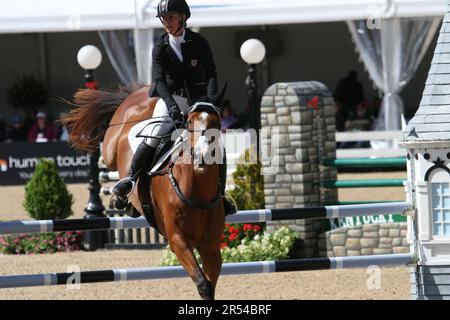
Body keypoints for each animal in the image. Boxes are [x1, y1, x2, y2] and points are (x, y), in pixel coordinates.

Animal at [60, 85, 225, 300]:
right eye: (189, 122)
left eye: (217, 123)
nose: (202, 157)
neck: (196, 191)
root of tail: (140, 92)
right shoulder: (178, 240)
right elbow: (203, 284)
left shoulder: (211, 247)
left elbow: (210, 285)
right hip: (112, 146)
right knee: (109, 161)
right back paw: (121, 192)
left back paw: (128, 204)